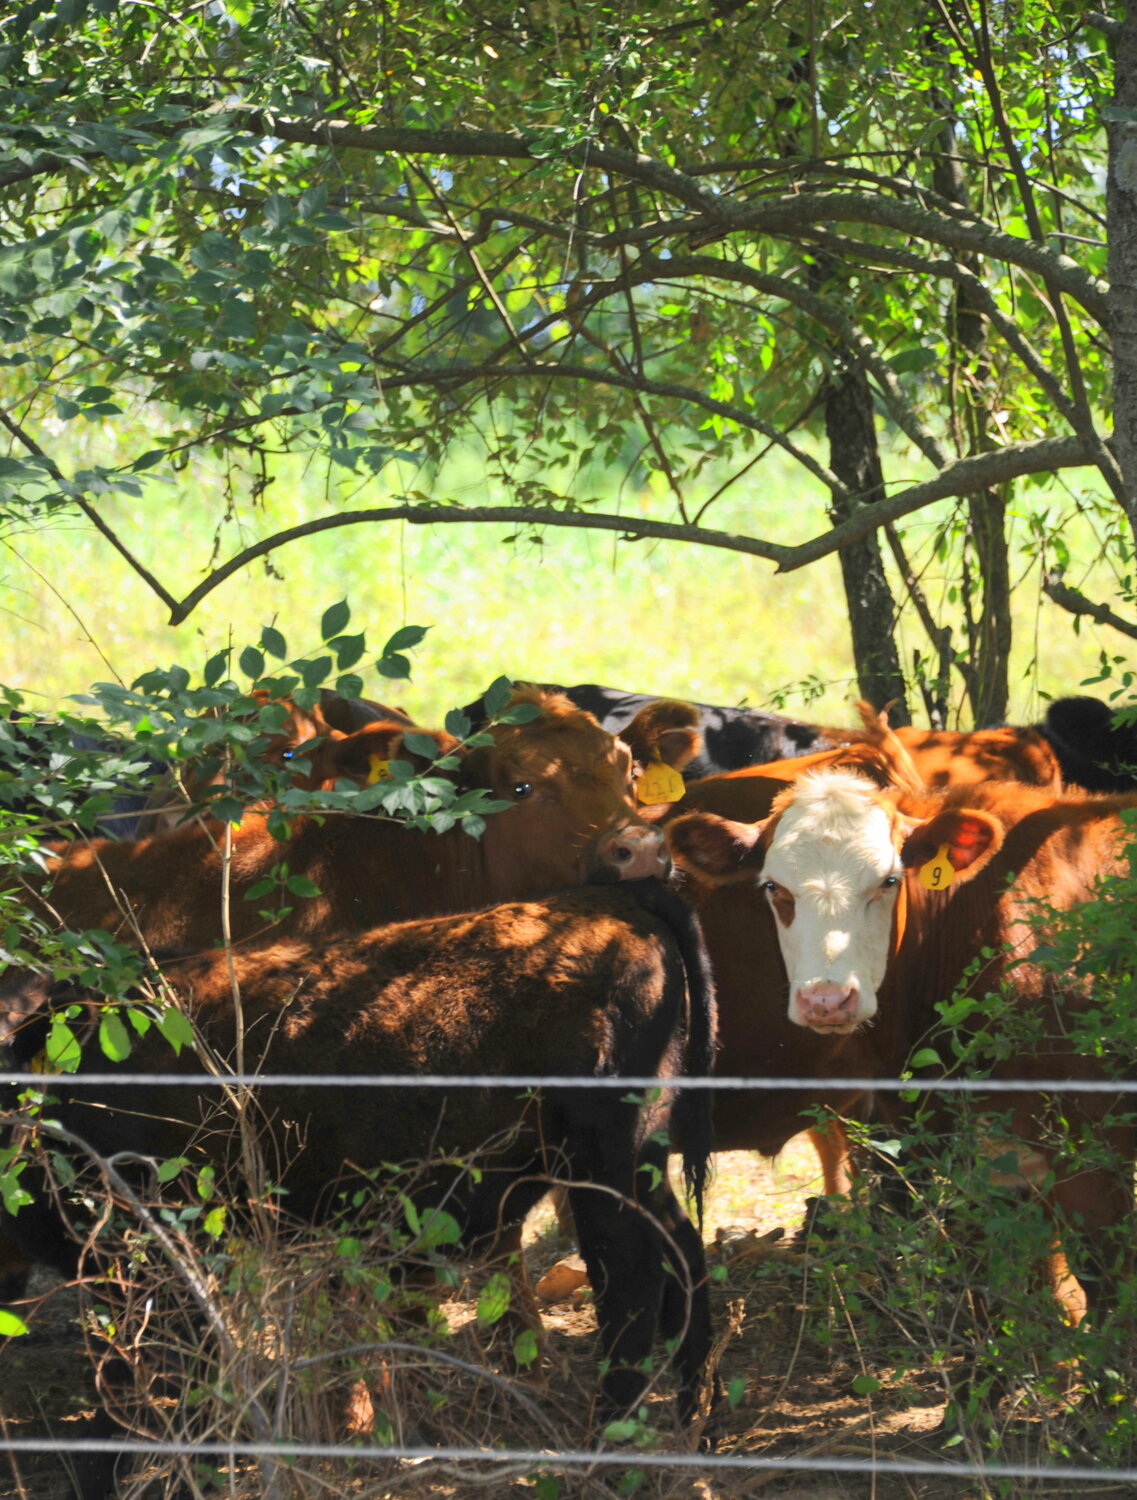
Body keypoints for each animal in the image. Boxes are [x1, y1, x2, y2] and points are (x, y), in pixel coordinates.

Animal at [4, 876, 720, 1500]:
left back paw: (609, 1452)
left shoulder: (150, 1260)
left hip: (605, 1170)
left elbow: (141, 1374)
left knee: (631, 1284)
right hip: (634, 1169)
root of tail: (611, 898)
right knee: (683, 1256)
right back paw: (696, 1421)